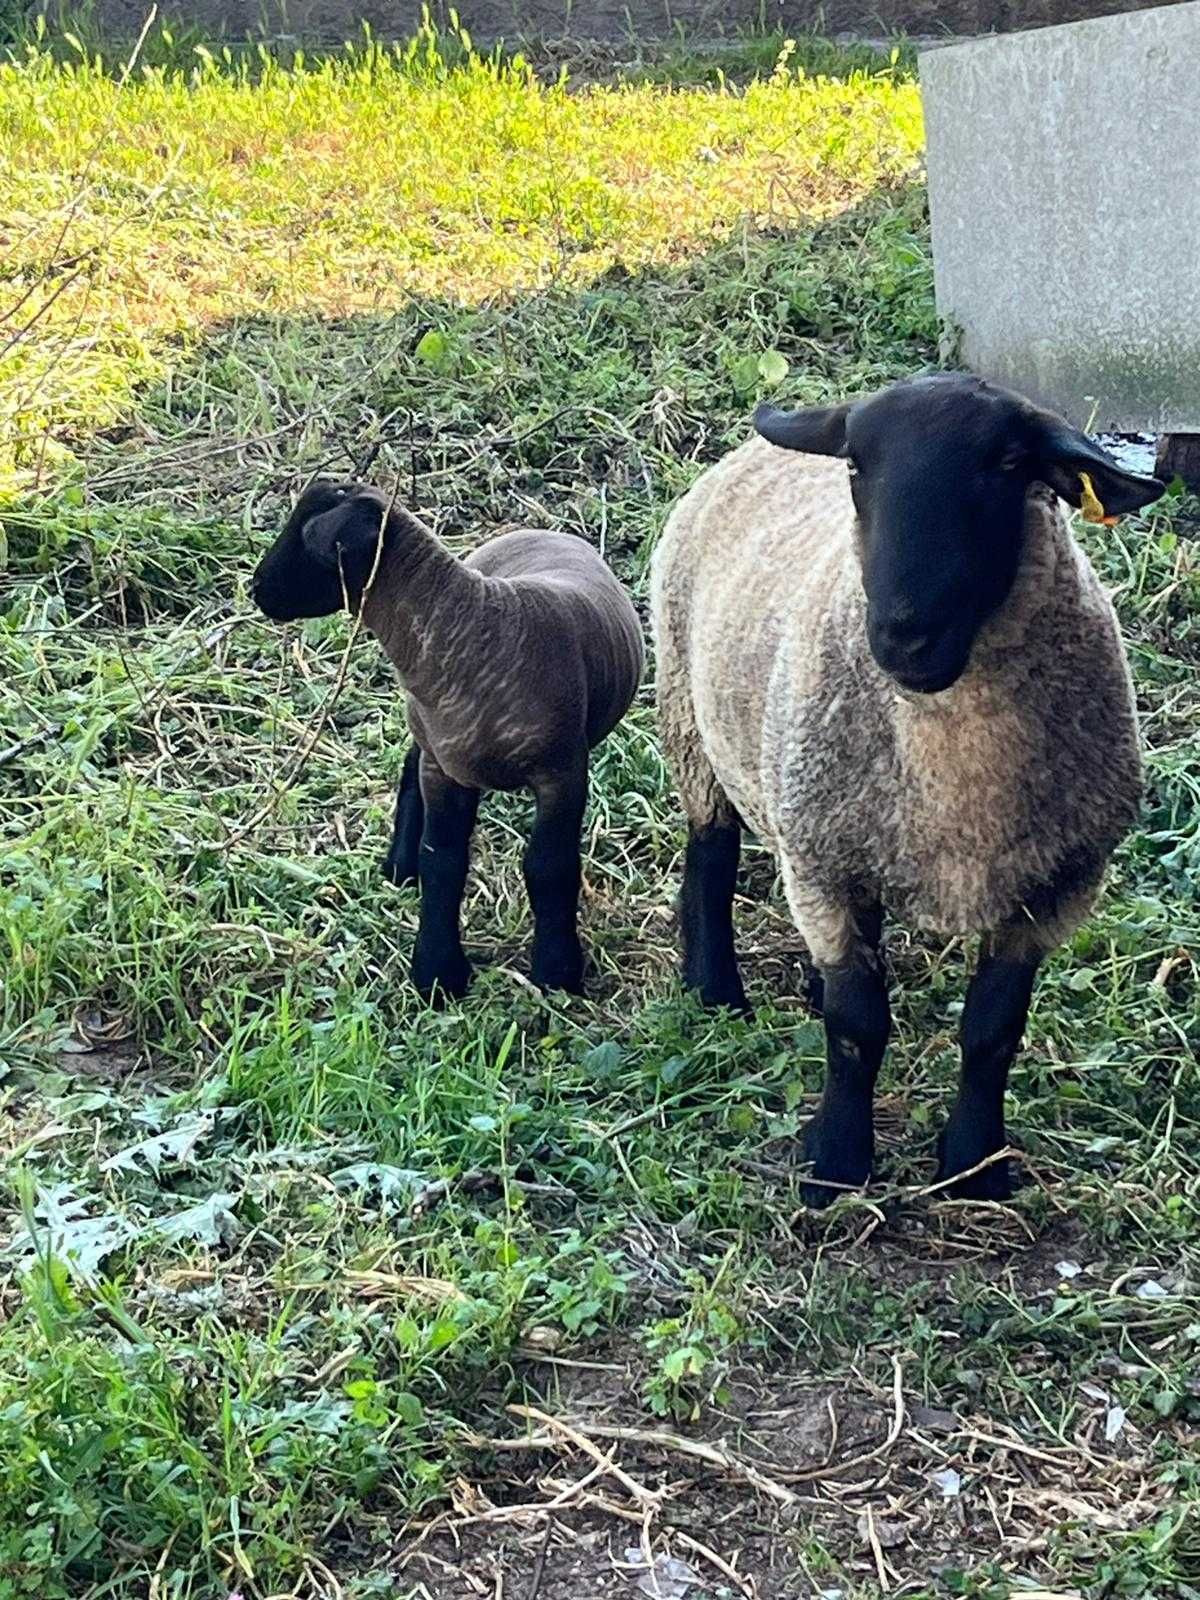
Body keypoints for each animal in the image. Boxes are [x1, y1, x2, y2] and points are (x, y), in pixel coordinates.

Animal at [254, 476, 649, 998]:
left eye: (306, 538)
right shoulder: (445, 769)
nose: (256, 587)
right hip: (430, 734)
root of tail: (539, 529)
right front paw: (437, 972)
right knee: (408, 770)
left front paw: (557, 971)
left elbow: (550, 866)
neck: (470, 627)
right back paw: (400, 867)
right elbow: (442, 861)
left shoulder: (561, 773)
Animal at [652, 374, 1171, 1203]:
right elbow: (857, 1027)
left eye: (1007, 463)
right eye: (858, 465)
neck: (957, 777)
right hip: (687, 711)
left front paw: (975, 1166)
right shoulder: (828, 866)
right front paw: (836, 1165)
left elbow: (993, 1032)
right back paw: (713, 990)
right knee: (711, 850)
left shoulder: (1055, 889)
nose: (903, 636)